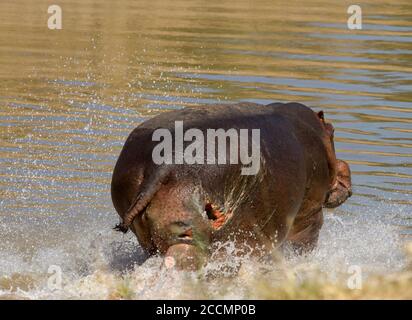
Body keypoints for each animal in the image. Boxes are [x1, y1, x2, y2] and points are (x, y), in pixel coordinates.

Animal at [111, 102, 352, 270]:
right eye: (333, 131)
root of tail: (163, 163)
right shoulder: (309, 215)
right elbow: (301, 246)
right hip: (191, 234)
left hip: (148, 229)